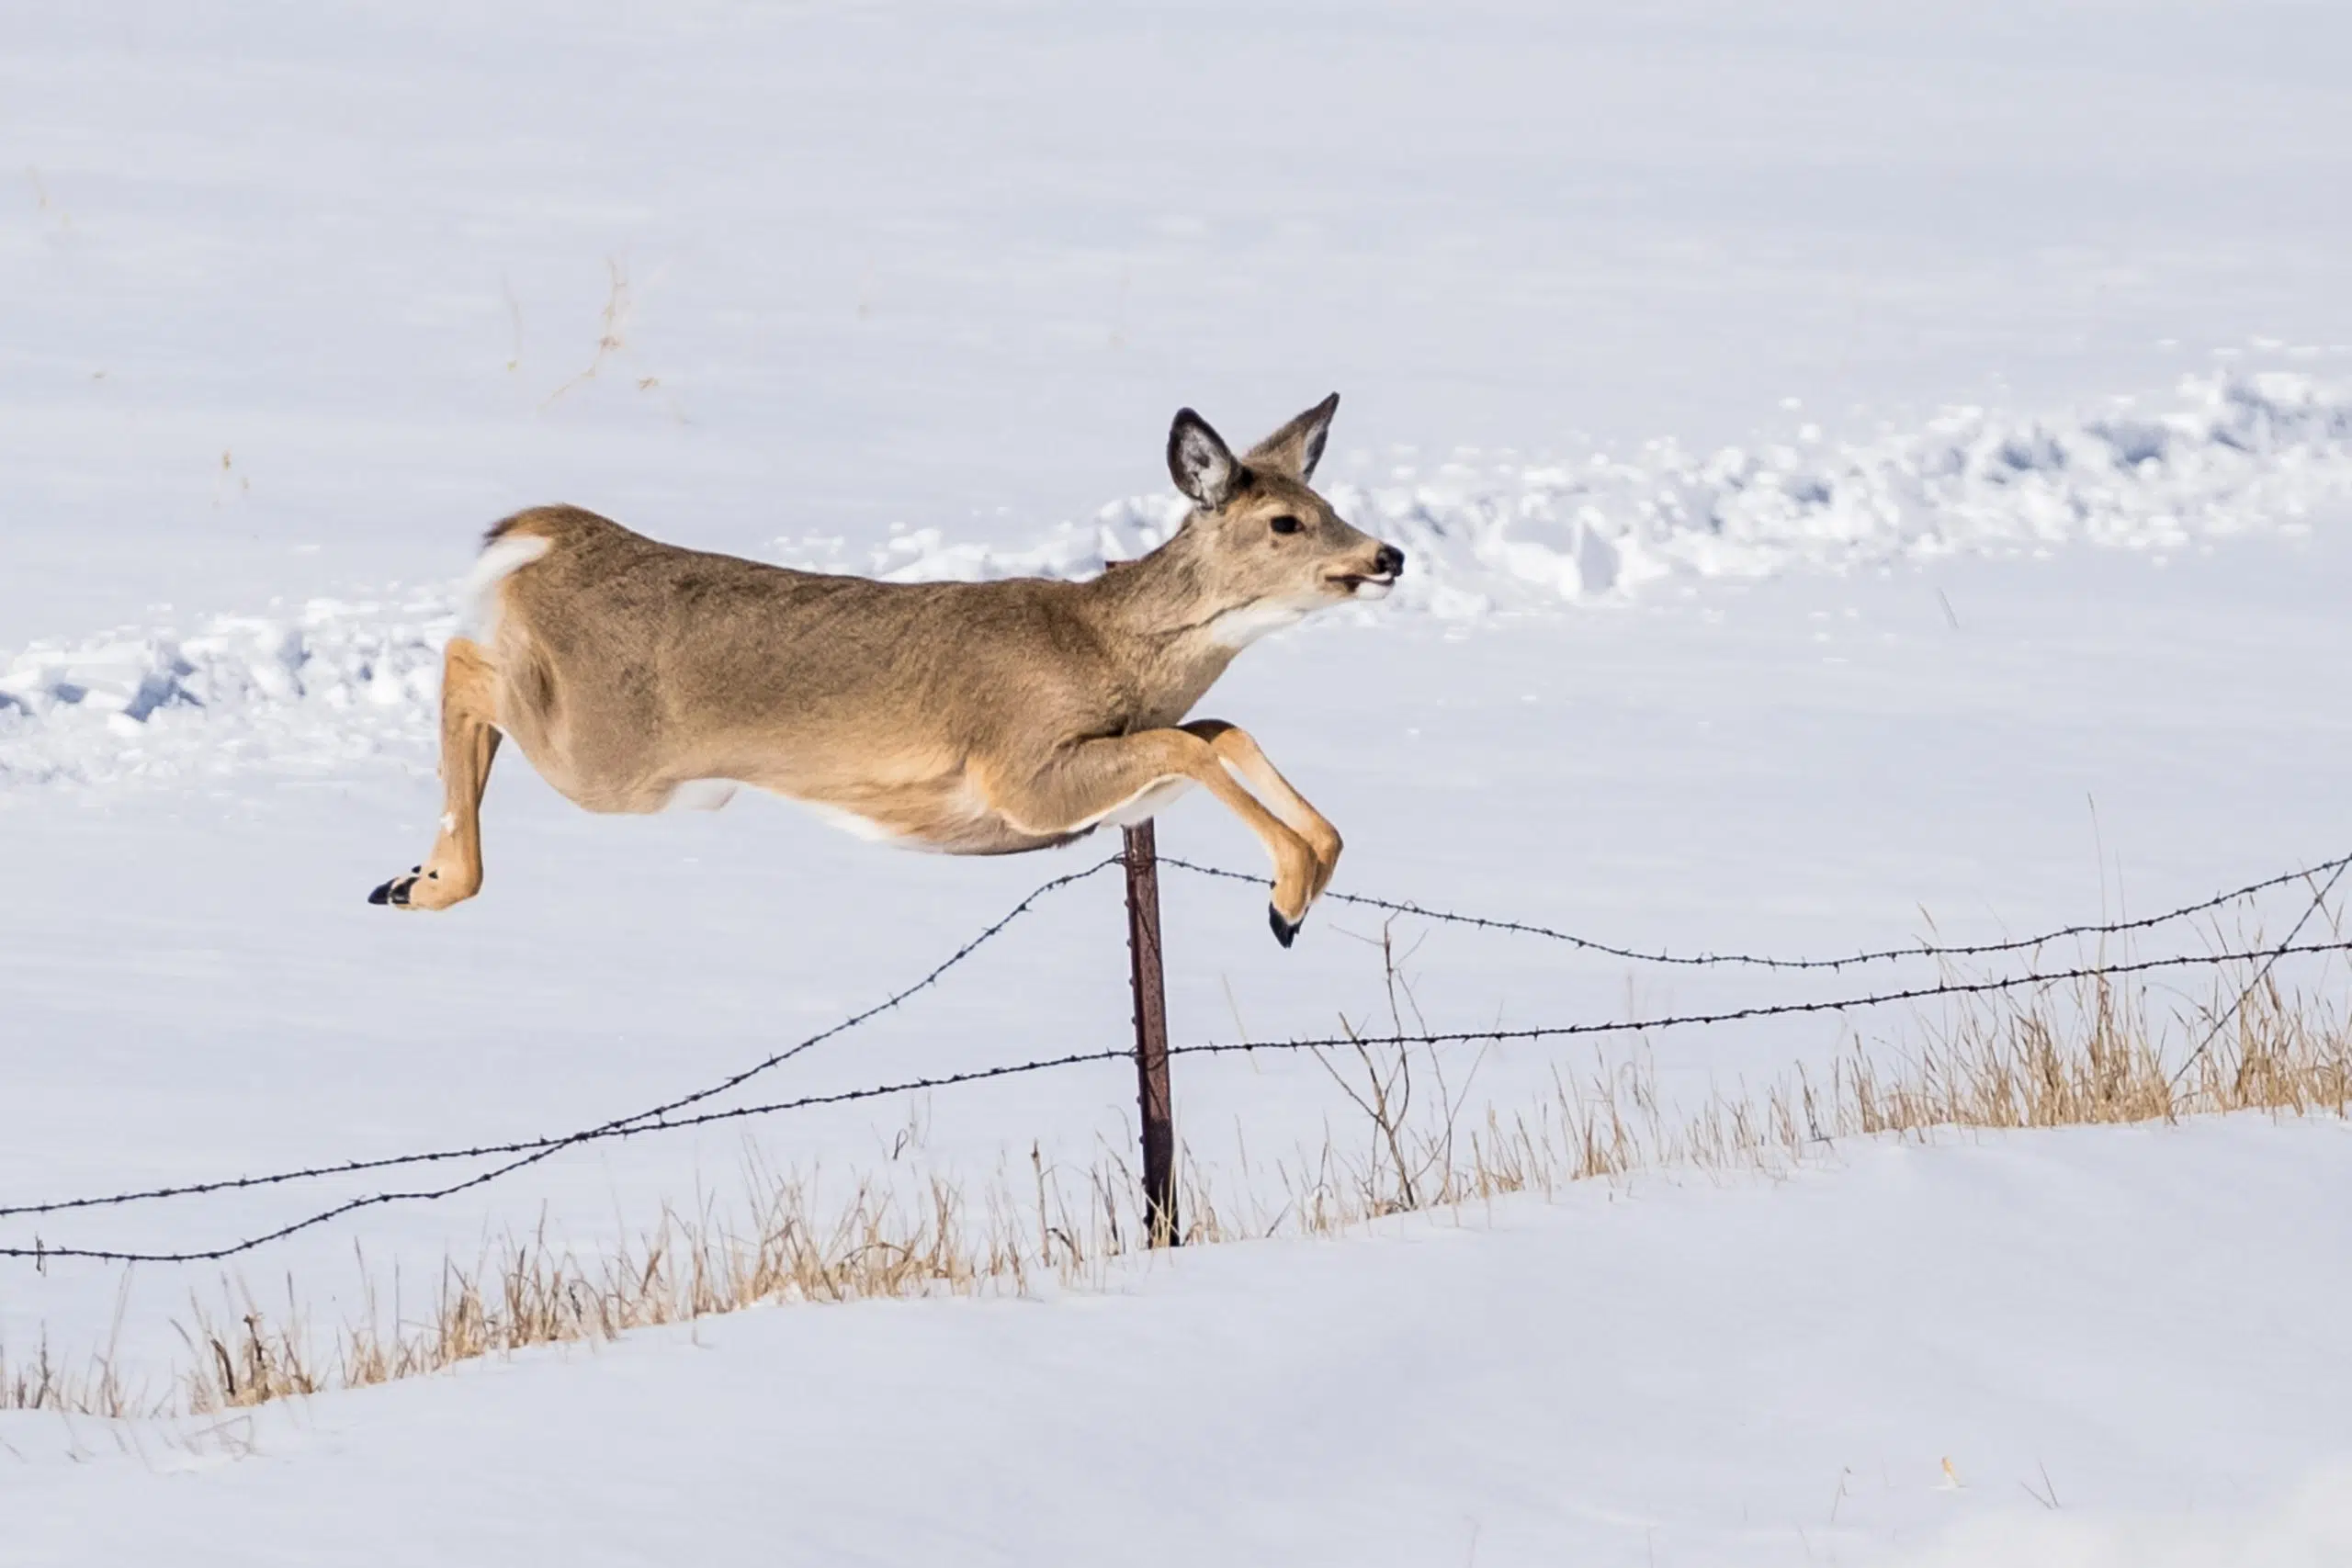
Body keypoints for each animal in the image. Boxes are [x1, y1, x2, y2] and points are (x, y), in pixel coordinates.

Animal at [364, 400, 1392, 949]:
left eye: (1328, 502)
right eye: (1286, 522)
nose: (1388, 556)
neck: (1101, 645)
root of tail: (557, 534)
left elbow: (1219, 731)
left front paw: (1308, 876)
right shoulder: (1021, 773)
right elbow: (1192, 743)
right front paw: (1287, 895)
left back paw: (408, 878)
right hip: (613, 756)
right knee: (466, 664)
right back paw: (421, 883)